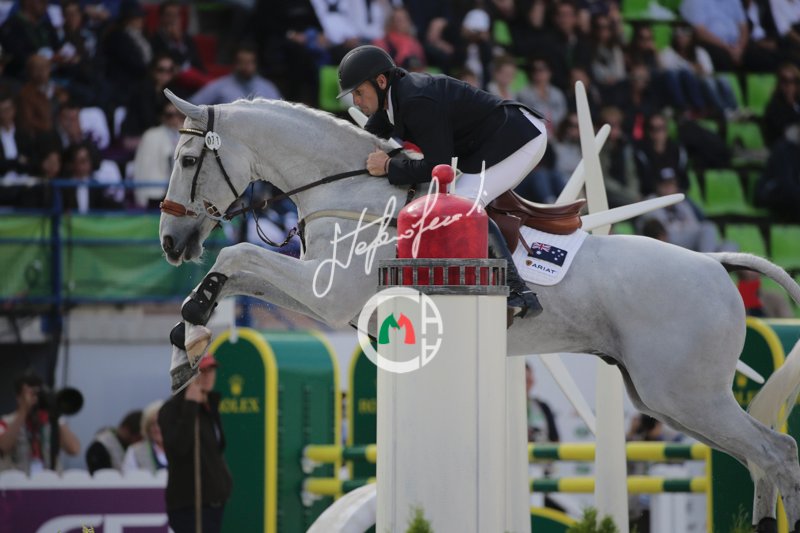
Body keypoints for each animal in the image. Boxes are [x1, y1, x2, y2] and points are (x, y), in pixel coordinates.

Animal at [158, 90, 800, 532]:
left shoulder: (330, 295)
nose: (170, 242)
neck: (351, 192)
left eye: (188, 159)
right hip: (664, 400)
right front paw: (187, 345)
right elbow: (239, 272)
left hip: (687, 395)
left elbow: (237, 254)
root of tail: (715, 264)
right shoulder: (319, 295)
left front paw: (189, 334)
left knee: (776, 453)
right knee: (763, 459)